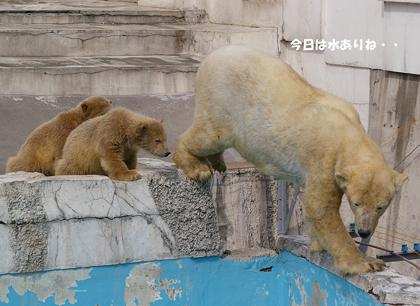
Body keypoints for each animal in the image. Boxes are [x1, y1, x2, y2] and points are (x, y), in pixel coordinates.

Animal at [172, 44, 408, 274]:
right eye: (356, 203)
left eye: (381, 206)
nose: (364, 230)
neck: (348, 133)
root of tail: (212, 55)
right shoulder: (323, 158)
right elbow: (320, 206)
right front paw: (365, 262)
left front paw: (318, 245)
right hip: (222, 98)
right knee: (210, 134)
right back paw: (196, 165)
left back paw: (218, 161)